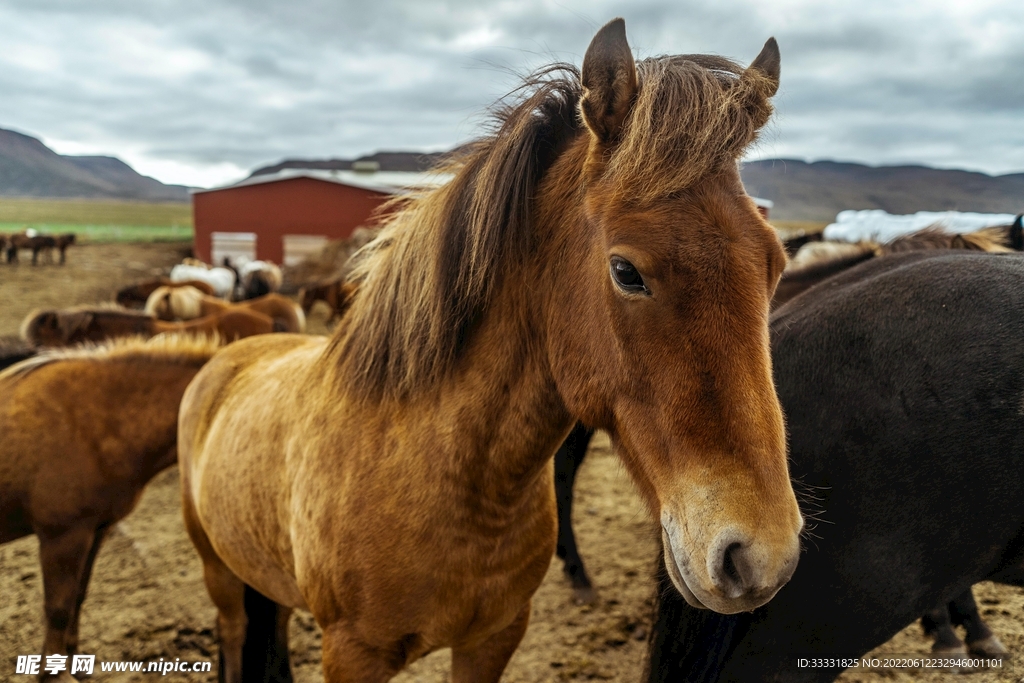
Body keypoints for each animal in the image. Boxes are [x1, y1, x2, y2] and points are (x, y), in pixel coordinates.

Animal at [0, 333, 223, 679]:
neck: (97, 419)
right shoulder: (61, 537)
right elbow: (58, 609)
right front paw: (53, 673)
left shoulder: (95, 530)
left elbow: (77, 597)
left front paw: (73, 660)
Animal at [180, 20, 802, 683]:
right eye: (626, 272)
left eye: (775, 263)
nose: (760, 557)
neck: (453, 484)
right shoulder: (353, 654)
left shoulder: (494, 638)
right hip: (218, 574)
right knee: (234, 631)